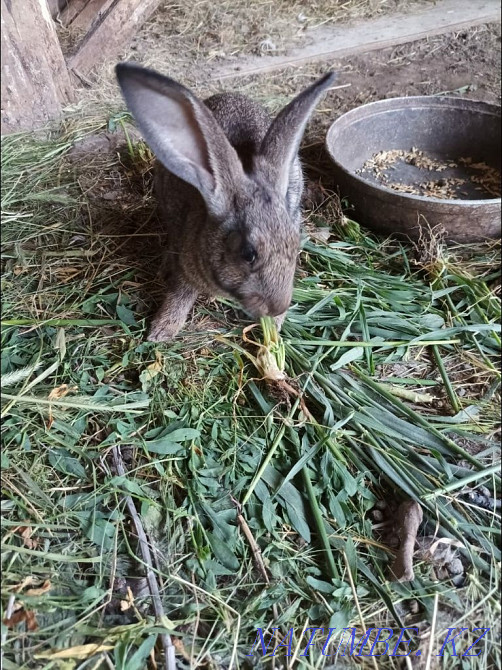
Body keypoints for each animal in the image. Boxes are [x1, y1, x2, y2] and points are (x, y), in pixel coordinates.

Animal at [115, 63, 334, 341]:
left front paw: (274, 330)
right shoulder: (186, 268)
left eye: (295, 245)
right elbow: (180, 294)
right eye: (248, 254)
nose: (278, 306)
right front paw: (162, 330)